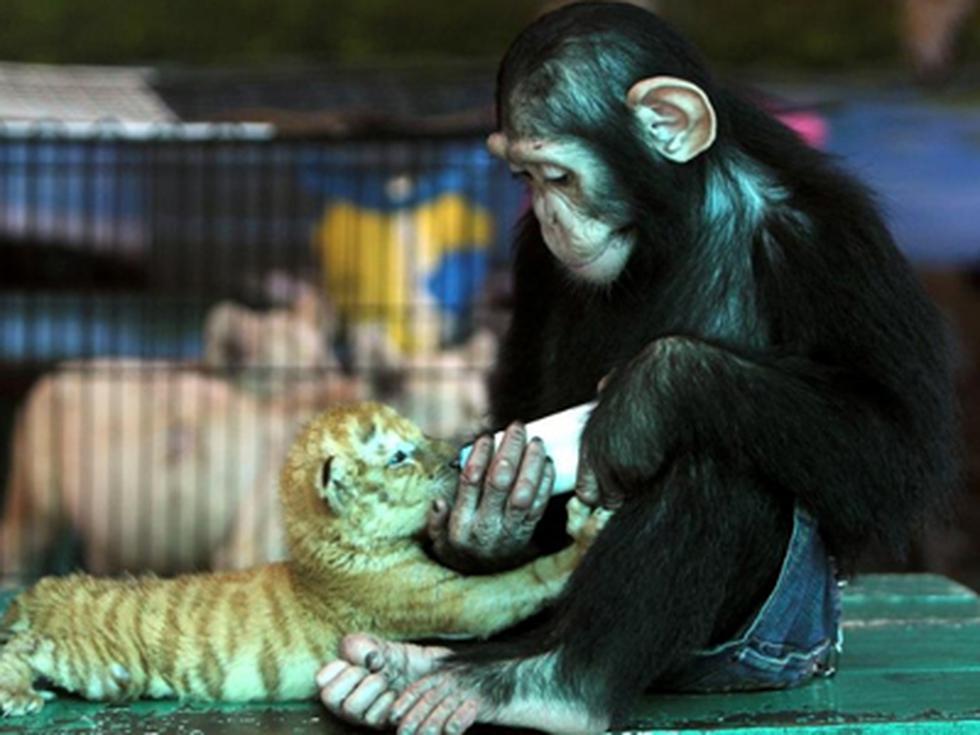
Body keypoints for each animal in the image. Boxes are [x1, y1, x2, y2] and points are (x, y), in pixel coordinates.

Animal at [0, 402, 608, 715]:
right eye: (399, 456)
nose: (459, 459)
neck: (336, 551)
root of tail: (38, 594)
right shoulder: (445, 601)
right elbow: (520, 582)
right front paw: (587, 532)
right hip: (91, 661)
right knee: (19, 652)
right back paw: (20, 696)